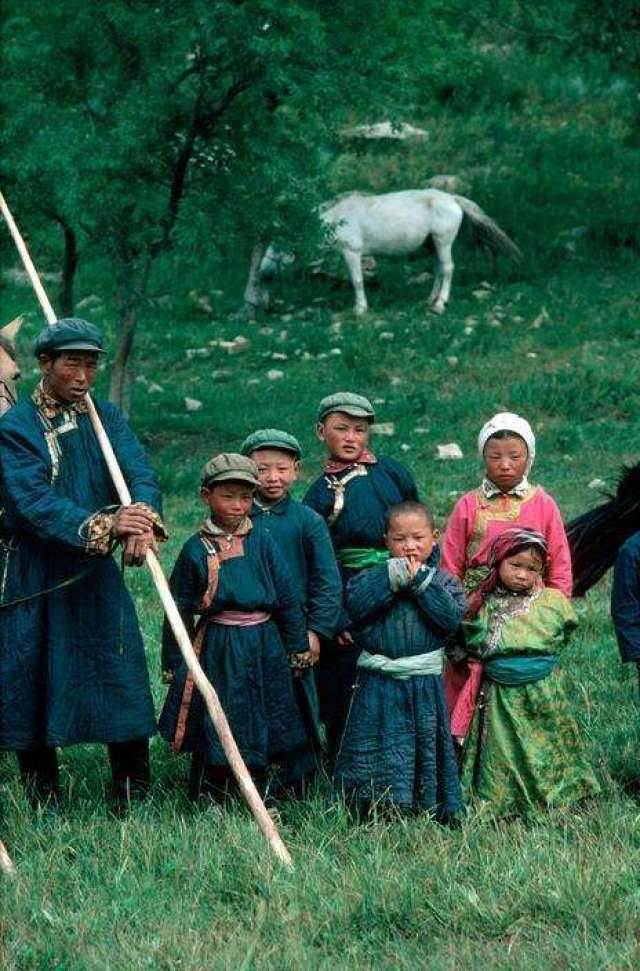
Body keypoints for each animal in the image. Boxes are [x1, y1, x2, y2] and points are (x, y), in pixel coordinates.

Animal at [245, 186, 520, 316]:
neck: (336, 219)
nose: (264, 272)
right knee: (439, 270)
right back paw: (430, 299)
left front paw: (360, 309)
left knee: (448, 269)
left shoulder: (352, 252)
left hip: (443, 242)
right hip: (432, 244)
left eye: (280, 244)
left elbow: (357, 281)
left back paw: (440, 304)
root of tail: (452, 198)